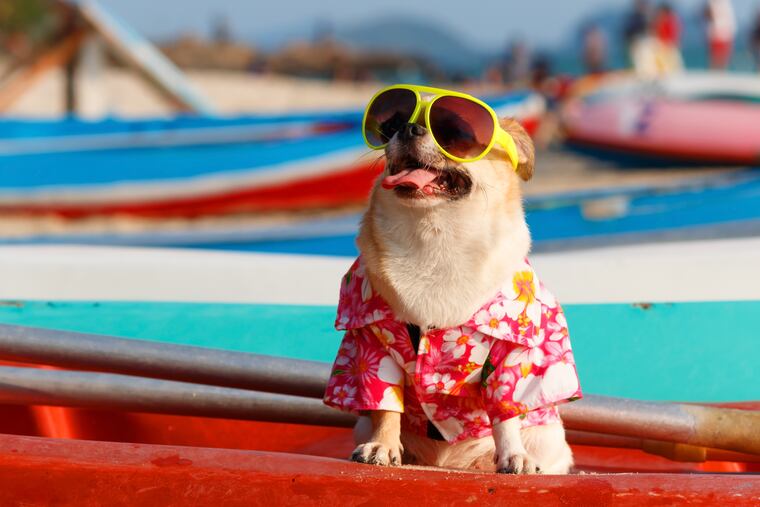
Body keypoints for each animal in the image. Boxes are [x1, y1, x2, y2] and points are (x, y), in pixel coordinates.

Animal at [324, 105, 580, 474]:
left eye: (456, 132)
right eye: (391, 123)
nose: (408, 127)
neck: (436, 236)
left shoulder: (511, 352)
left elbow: (505, 411)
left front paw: (513, 454)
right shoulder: (372, 343)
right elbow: (385, 405)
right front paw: (382, 446)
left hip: (548, 439)